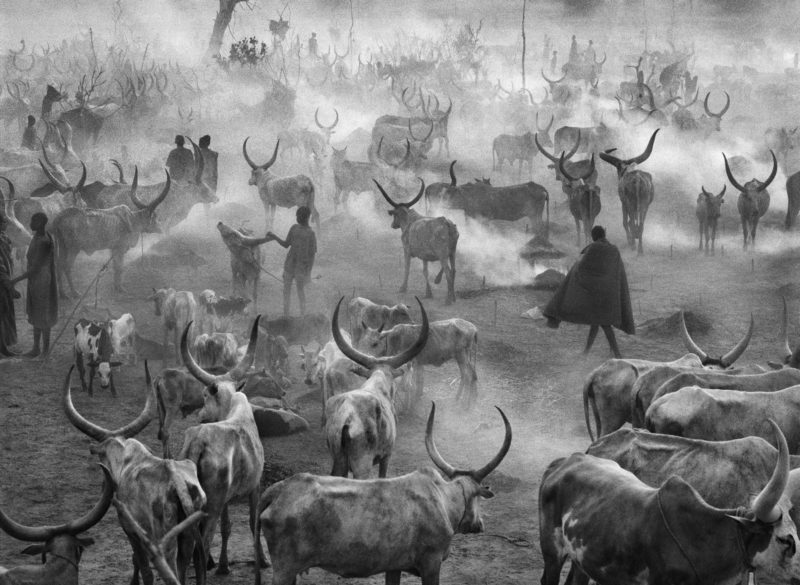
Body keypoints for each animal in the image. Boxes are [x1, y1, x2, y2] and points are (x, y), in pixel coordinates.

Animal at [260, 400, 516, 584]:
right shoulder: (431, 564)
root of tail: (280, 488)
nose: (479, 525)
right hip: (284, 570)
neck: (444, 500)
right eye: (479, 498)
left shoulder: (394, 567)